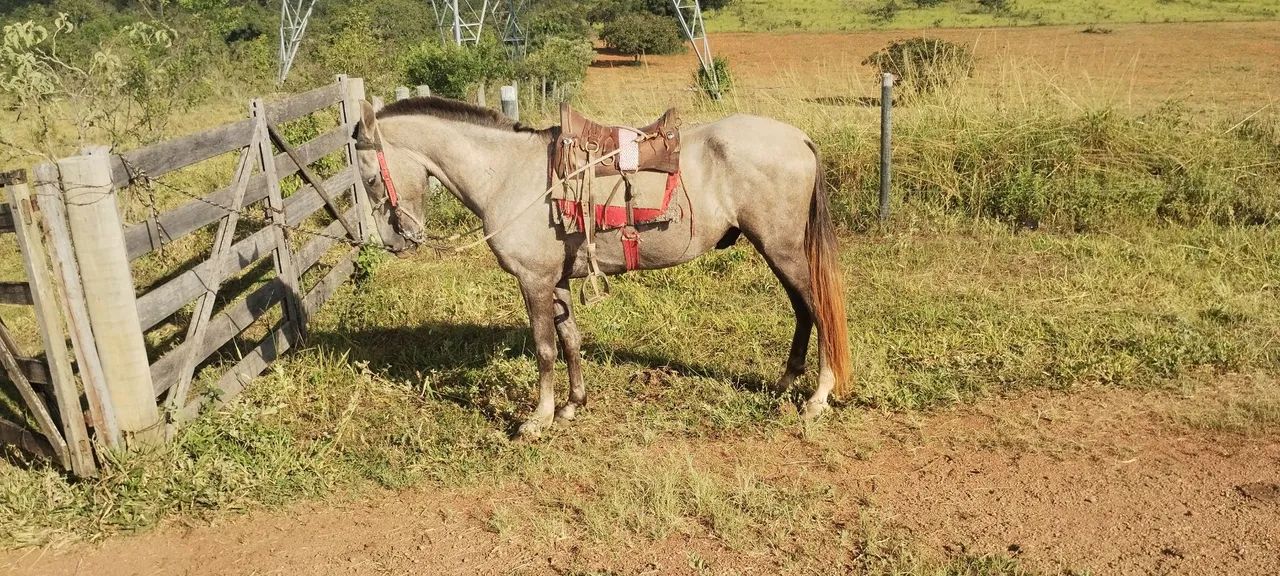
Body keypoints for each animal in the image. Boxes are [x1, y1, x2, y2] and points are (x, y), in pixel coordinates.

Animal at [352, 96, 850, 438]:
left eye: (371, 177)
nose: (396, 240)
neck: (507, 172)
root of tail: (798, 138)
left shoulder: (533, 282)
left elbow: (544, 349)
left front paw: (538, 419)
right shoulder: (555, 282)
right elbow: (570, 340)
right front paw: (573, 405)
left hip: (783, 250)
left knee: (818, 311)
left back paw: (817, 397)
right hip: (777, 252)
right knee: (803, 312)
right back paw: (786, 382)